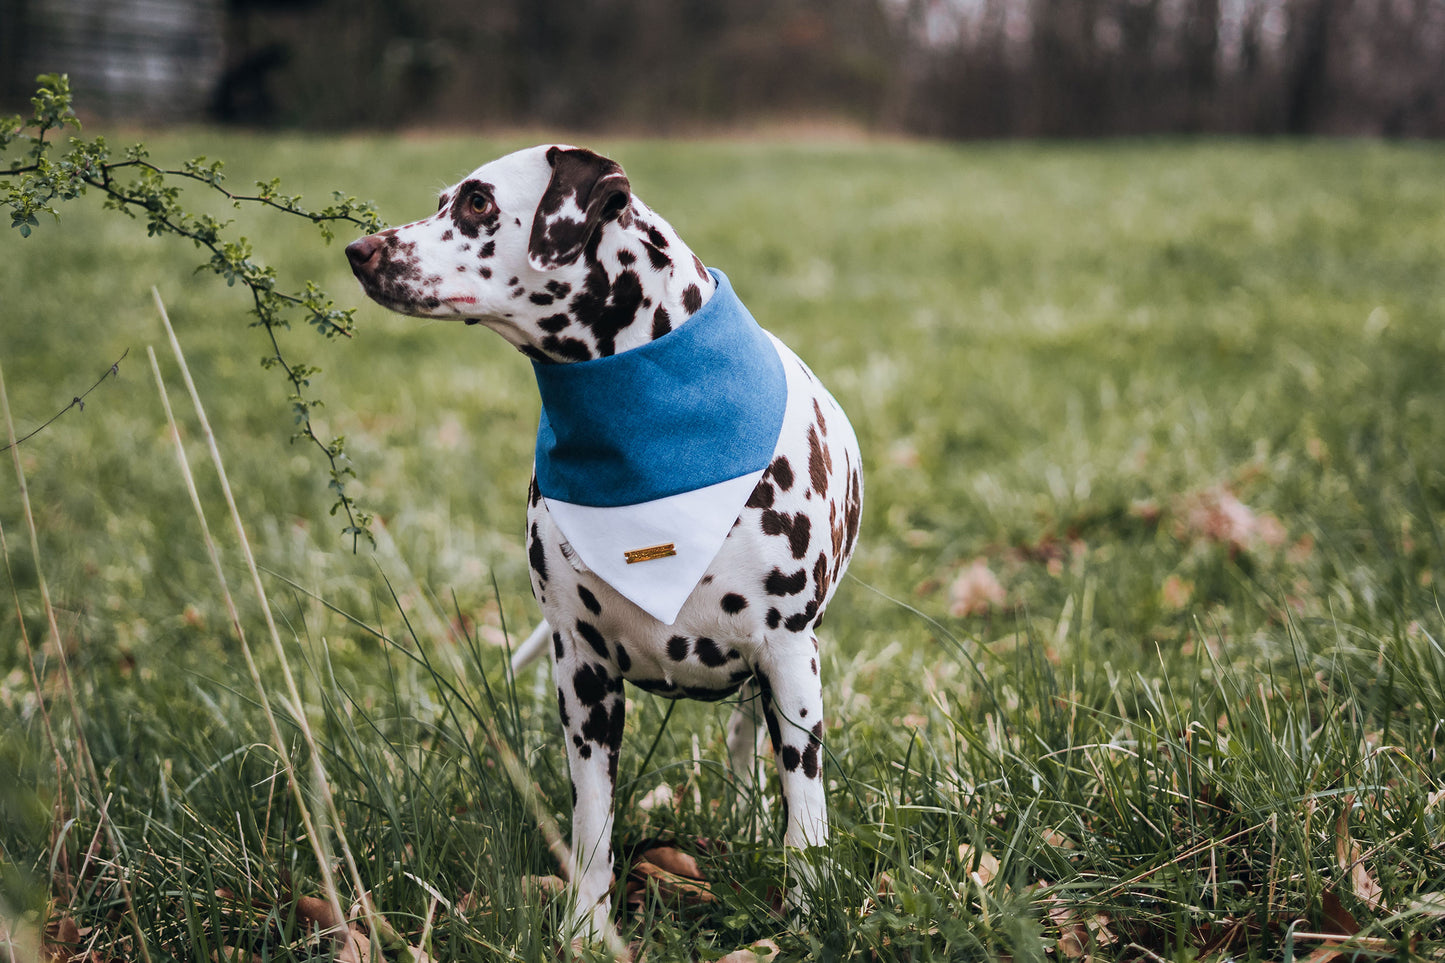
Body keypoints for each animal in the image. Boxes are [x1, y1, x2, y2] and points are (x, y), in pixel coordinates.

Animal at [343, 144, 861, 936]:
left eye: (477, 203)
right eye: (442, 200)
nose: (359, 250)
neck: (648, 419)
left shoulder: (790, 663)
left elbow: (805, 813)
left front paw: (806, 911)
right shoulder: (583, 677)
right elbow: (592, 825)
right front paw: (586, 929)